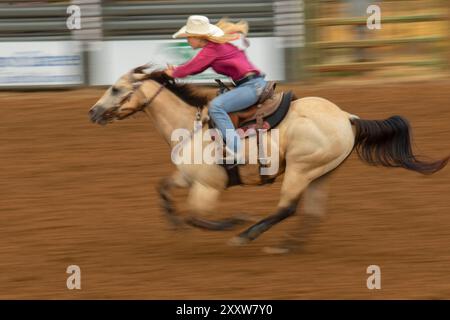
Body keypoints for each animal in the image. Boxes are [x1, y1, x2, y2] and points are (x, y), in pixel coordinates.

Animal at [88, 63, 446, 251]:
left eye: (117, 89)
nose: (93, 112)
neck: (191, 125)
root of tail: (347, 117)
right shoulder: (187, 177)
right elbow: (162, 188)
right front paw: (173, 222)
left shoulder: (208, 187)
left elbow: (198, 216)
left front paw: (234, 221)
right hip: (321, 173)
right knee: (312, 211)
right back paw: (288, 245)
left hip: (301, 169)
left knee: (287, 207)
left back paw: (247, 235)